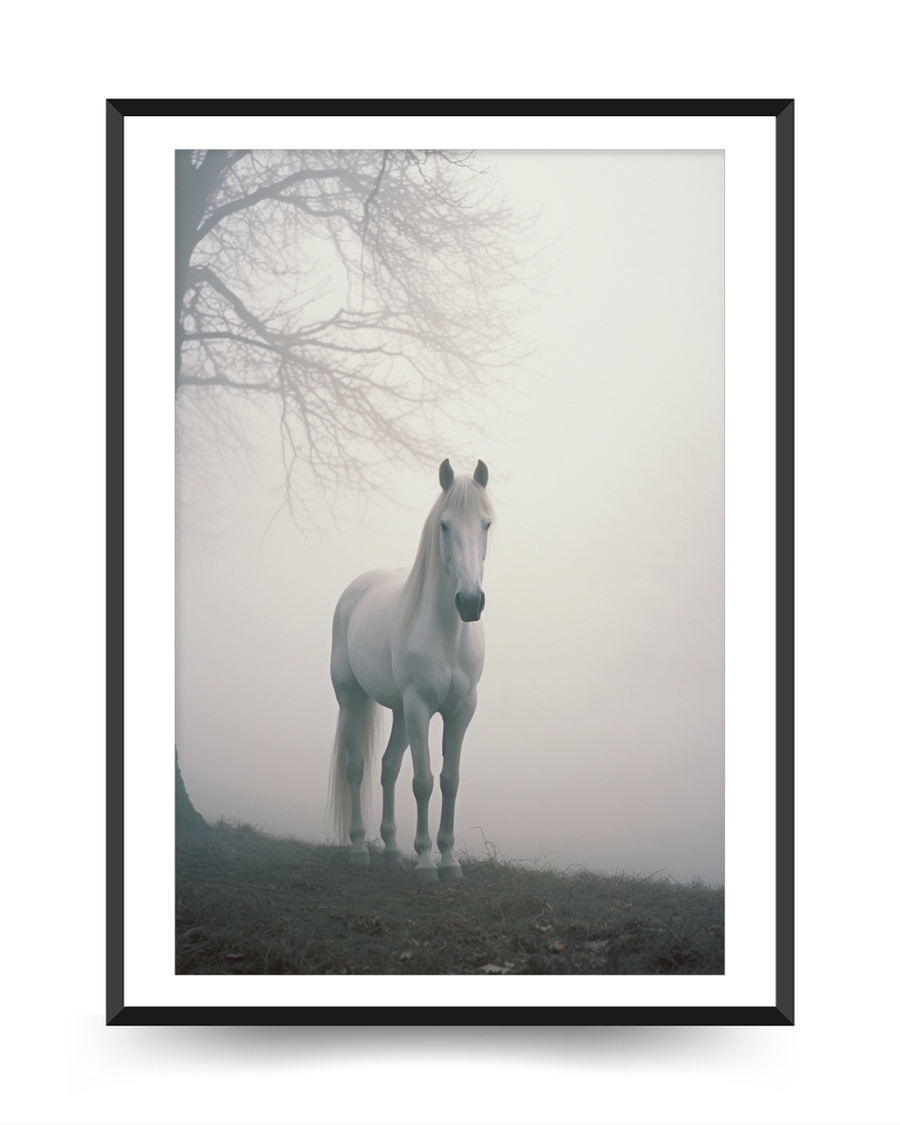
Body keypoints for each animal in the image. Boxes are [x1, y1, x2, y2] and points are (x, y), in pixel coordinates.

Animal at [328, 459, 494, 881]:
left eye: (486, 524)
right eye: (444, 525)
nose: (470, 602)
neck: (448, 633)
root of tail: (357, 589)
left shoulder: (461, 711)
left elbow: (449, 780)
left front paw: (449, 861)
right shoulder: (420, 707)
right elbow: (423, 781)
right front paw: (425, 863)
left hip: (401, 714)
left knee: (388, 768)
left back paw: (390, 848)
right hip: (353, 701)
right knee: (357, 768)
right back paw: (359, 848)